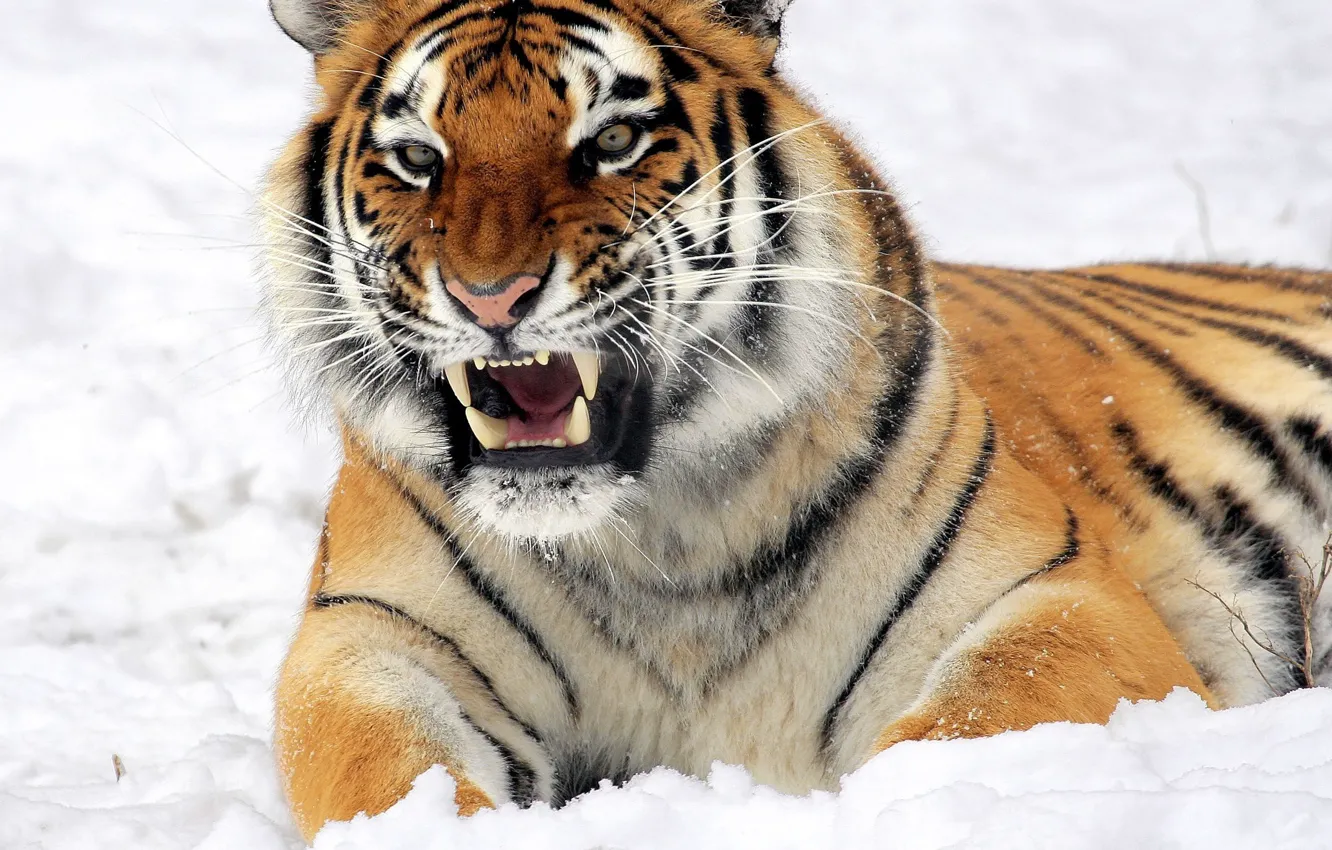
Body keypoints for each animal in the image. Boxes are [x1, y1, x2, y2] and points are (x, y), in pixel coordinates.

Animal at [259, 0, 1332, 841]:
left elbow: (971, 721)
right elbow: (385, 769)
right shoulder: (369, 637)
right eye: (417, 158)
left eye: (611, 142)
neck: (659, 541)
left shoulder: (1059, 594)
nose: (491, 297)